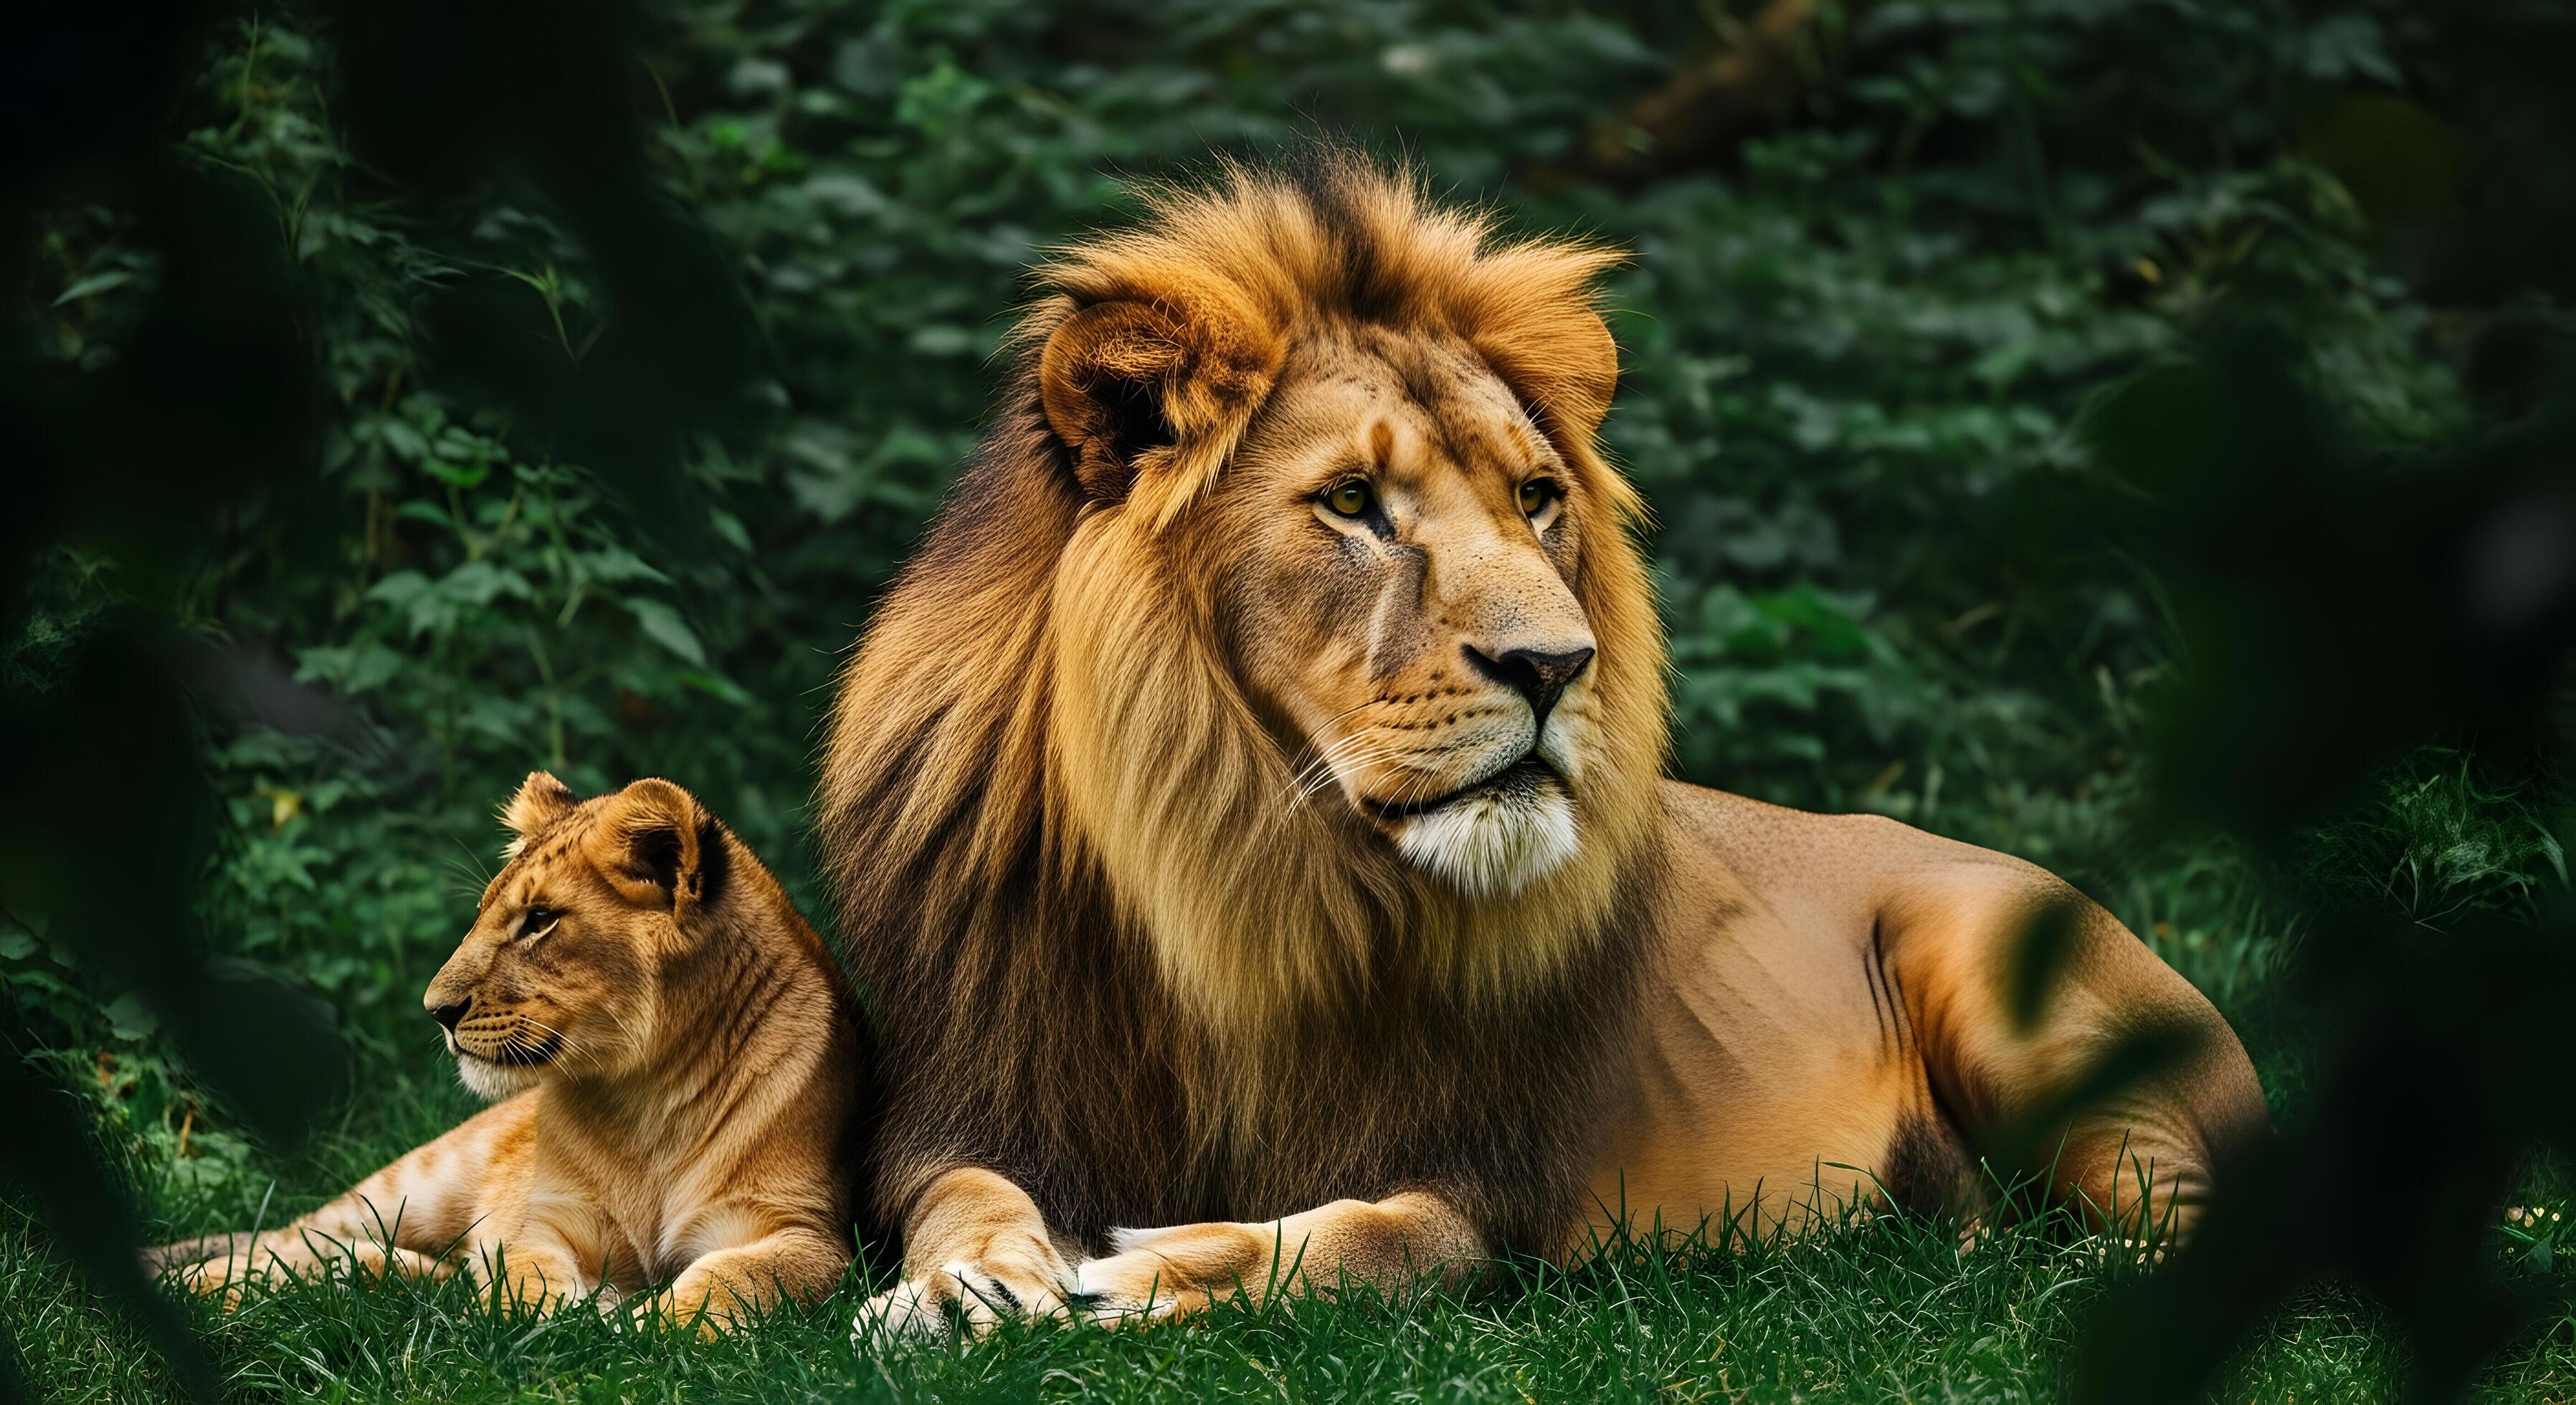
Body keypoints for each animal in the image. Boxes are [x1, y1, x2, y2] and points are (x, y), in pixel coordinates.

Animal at [147, 774, 862, 1332]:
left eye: (540, 920)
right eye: (487, 911)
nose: (435, 1010)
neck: (647, 1098)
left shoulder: (804, 1232)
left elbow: (730, 1283)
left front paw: (643, 1330)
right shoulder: (551, 1219)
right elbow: (525, 1275)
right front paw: (567, 1325)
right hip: (415, 1181)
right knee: (291, 1238)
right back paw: (189, 1284)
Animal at [817, 151, 2266, 1333]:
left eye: (1534, 498)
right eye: (1352, 502)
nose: (1556, 666)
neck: (1237, 871)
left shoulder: (1498, 1189)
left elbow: (1373, 1242)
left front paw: (1162, 1267)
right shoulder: (968, 1102)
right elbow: (962, 1196)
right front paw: (960, 1287)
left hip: (2004, 970)